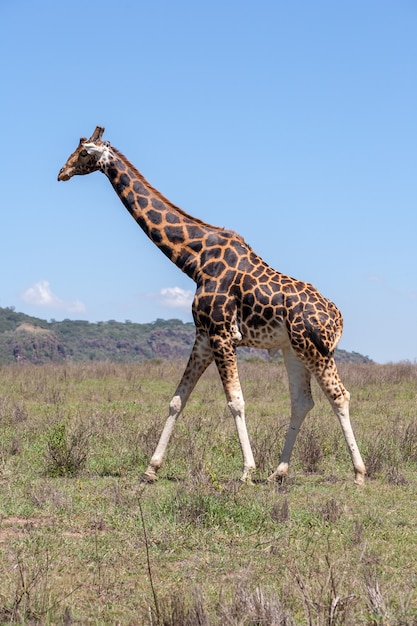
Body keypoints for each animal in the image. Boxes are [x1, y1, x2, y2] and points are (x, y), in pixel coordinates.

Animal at [57, 127, 364, 486]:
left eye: (82, 153)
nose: (61, 173)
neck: (195, 260)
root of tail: (338, 318)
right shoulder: (203, 336)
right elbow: (178, 399)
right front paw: (151, 469)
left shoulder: (222, 334)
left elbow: (235, 402)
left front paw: (246, 471)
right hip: (293, 349)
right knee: (302, 401)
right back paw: (278, 473)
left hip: (316, 348)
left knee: (339, 396)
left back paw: (358, 473)